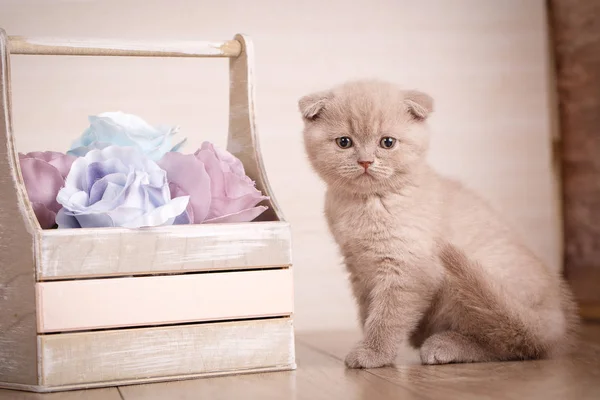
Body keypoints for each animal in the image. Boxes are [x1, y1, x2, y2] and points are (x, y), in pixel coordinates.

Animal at [298, 79, 580, 368]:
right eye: (344, 142)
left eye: (387, 142)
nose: (365, 161)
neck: (368, 203)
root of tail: (555, 319)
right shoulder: (358, 268)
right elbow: (369, 311)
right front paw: (372, 345)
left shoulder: (409, 267)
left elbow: (388, 315)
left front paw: (373, 353)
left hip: (469, 283)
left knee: (513, 340)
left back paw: (444, 345)